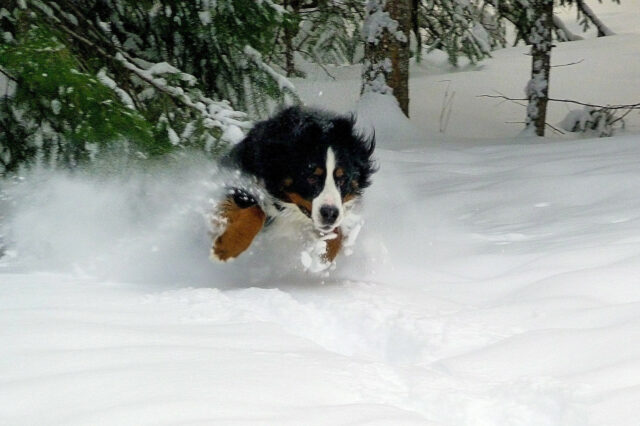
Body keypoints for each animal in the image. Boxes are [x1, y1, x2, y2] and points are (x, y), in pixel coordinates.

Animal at [210, 105, 378, 268]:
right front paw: (228, 246)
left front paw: (323, 257)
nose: (330, 214)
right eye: (311, 178)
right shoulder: (238, 180)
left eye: (343, 179)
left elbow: (338, 231)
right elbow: (255, 210)